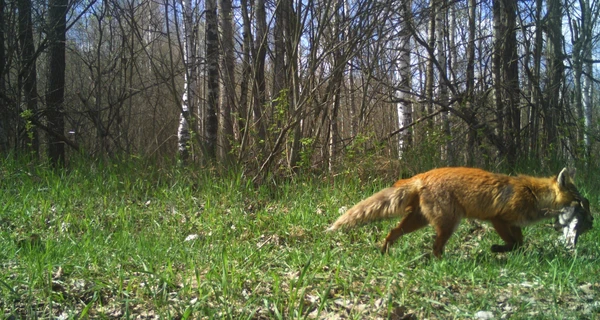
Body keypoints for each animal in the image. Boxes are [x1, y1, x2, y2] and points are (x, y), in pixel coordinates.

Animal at [328, 168, 592, 258]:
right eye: (581, 202)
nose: (591, 223)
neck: (533, 194)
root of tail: (423, 175)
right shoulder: (498, 219)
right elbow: (514, 243)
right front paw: (498, 249)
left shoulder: (514, 223)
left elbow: (520, 243)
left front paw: (509, 253)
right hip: (448, 224)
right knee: (435, 247)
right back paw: (441, 263)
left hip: (418, 221)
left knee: (393, 232)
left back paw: (384, 251)